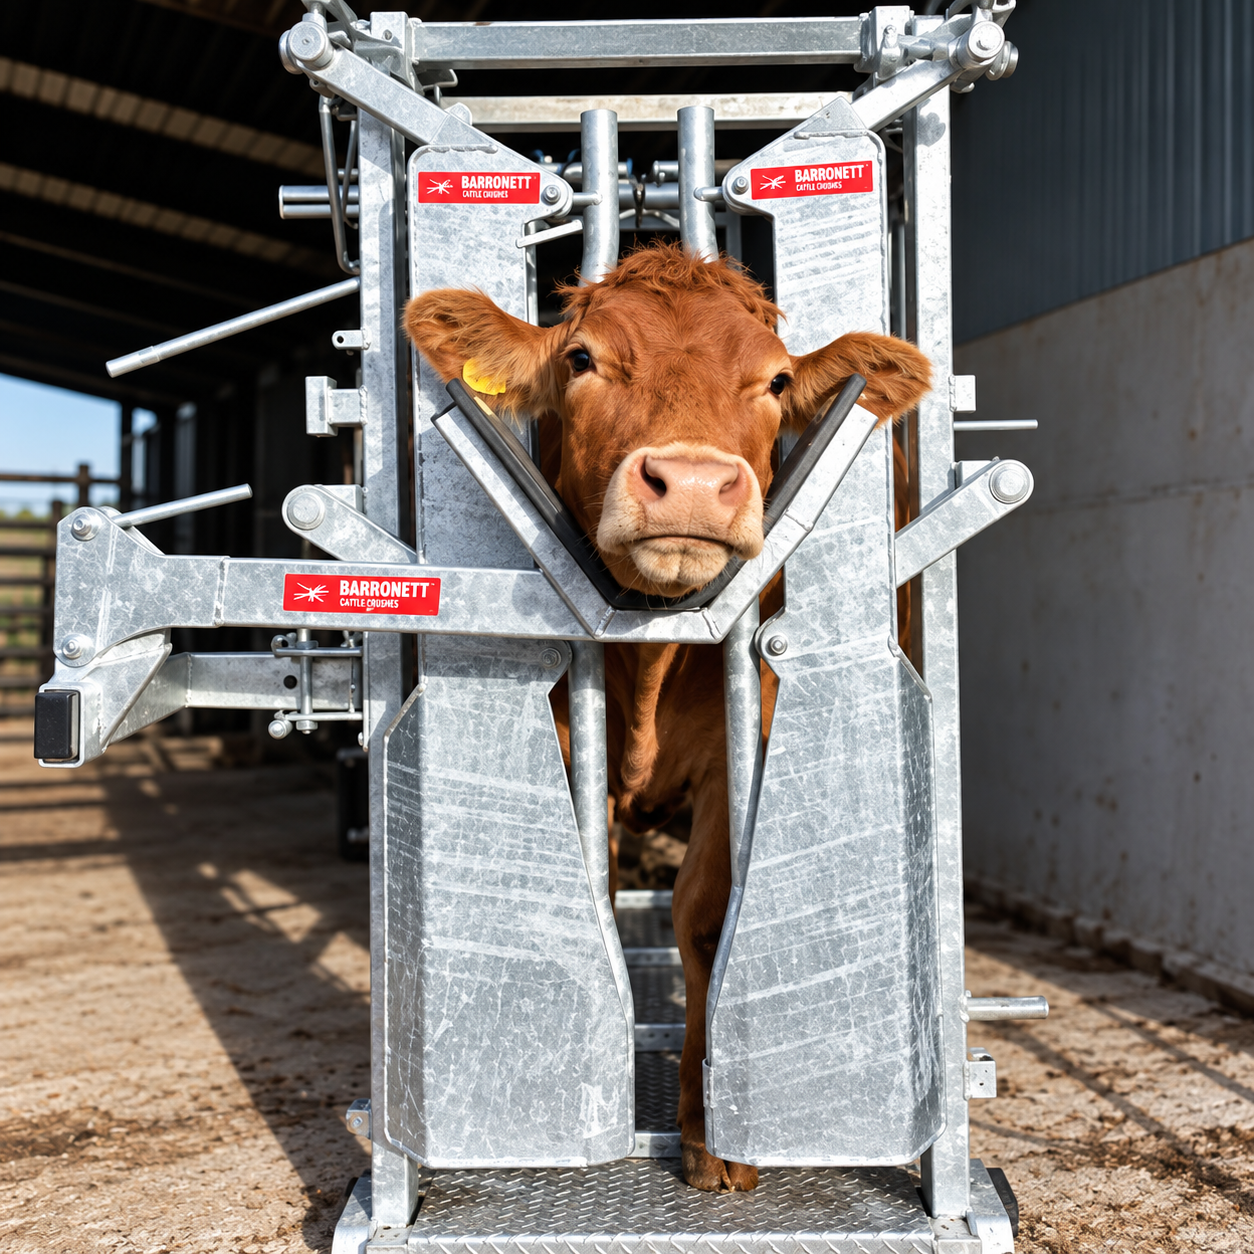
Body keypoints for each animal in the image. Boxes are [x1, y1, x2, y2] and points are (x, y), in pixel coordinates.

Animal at [404, 241, 932, 1194]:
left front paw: (714, 1134)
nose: (689, 484)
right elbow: (594, 900)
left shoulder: (740, 747)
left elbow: (708, 917)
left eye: (776, 379)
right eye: (582, 359)